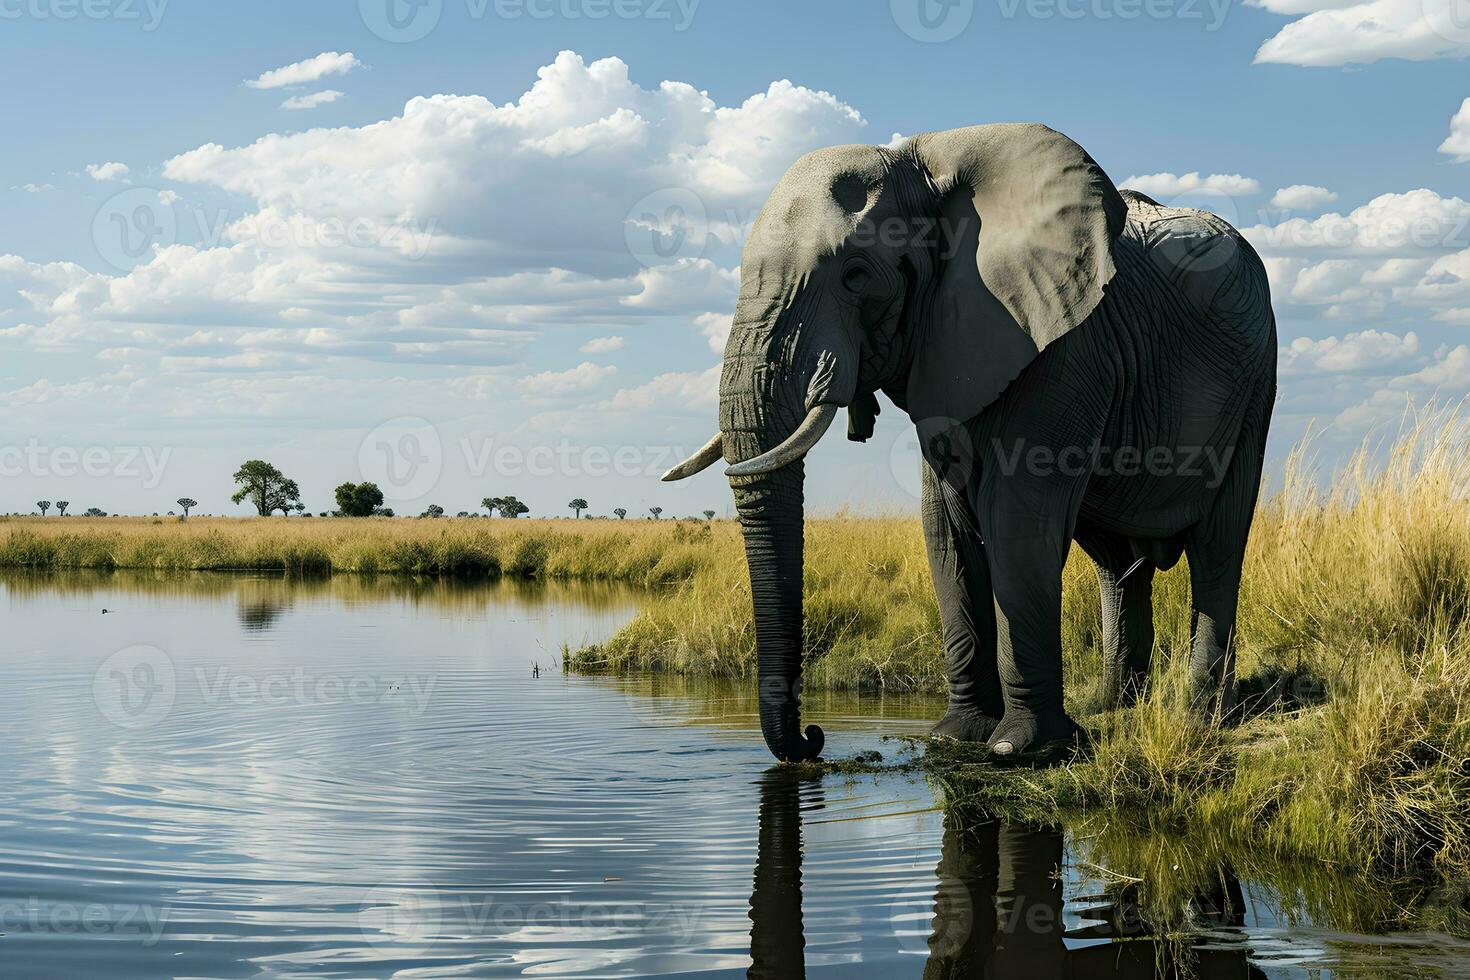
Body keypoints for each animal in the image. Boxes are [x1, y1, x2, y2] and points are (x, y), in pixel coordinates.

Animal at [667, 122, 1275, 764]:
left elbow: (1017, 524)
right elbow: (946, 532)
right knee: (1117, 564)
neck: (927, 168)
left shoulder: (1064, 347)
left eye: (856, 274)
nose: (814, 737)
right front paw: (956, 736)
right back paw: (1115, 709)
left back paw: (1202, 716)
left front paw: (1018, 749)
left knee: (1218, 546)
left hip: (1256, 385)